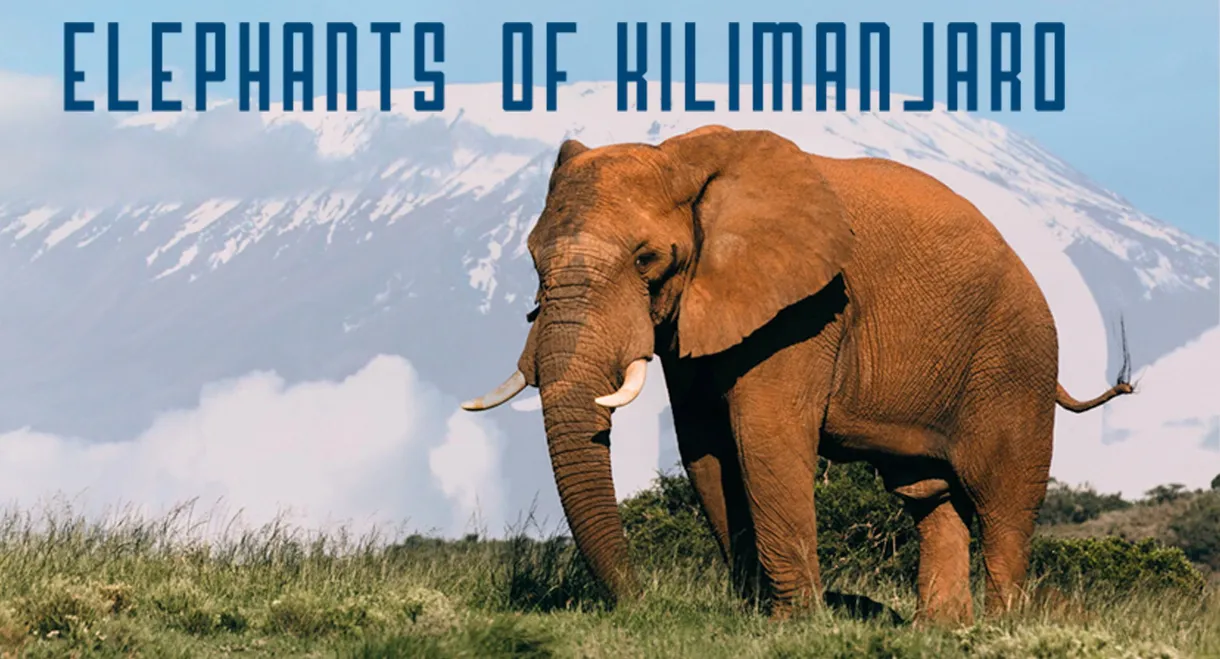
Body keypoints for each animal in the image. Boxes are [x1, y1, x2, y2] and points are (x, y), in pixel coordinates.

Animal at [460, 125, 1134, 625]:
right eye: (531, 259)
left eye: (648, 259)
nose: (639, 604)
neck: (685, 160)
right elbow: (705, 446)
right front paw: (753, 616)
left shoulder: (808, 307)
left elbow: (766, 435)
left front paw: (795, 625)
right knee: (930, 497)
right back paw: (940, 631)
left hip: (1015, 359)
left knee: (1003, 502)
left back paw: (1001, 629)